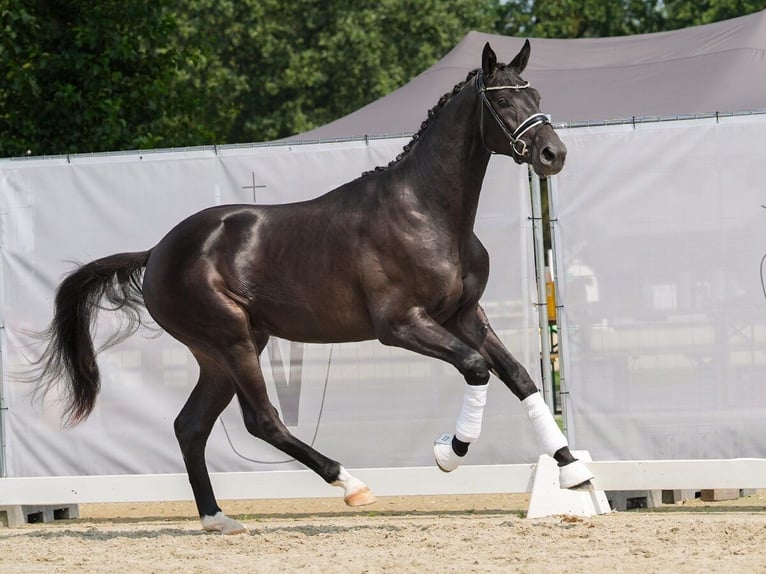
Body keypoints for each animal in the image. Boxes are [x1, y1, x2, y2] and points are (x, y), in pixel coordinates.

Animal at [30, 41, 592, 536]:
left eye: (535, 94)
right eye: (502, 99)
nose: (553, 153)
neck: (427, 213)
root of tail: (157, 251)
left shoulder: (466, 315)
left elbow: (520, 377)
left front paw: (574, 471)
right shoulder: (401, 325)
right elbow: (476, 368)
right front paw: (448, 454)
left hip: (222, 352)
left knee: (190, 426)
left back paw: (218, 519)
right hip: (232, 340)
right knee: (262, 421)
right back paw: (352, 485)